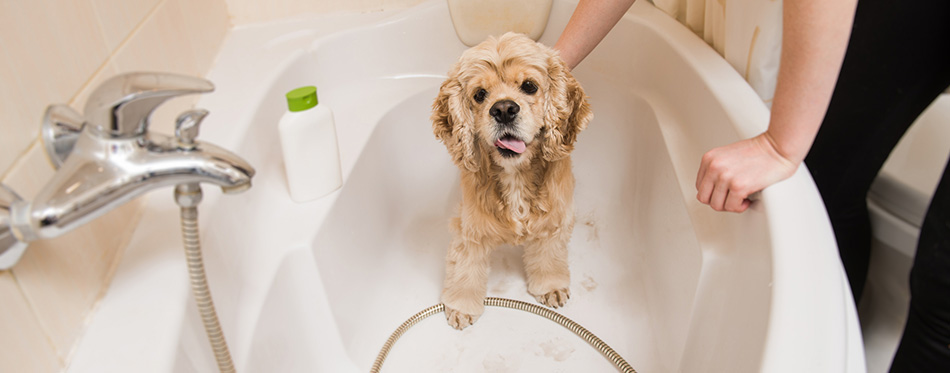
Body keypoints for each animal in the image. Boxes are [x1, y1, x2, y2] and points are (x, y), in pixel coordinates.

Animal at [434, 32, 596, 328]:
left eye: (529, 86)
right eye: (479, 94)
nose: (504, 109)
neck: (515, 175)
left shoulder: (554, 221)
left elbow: (549, 256)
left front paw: (551, 287)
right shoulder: (469, 229)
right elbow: (465, 267)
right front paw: (461, 306)